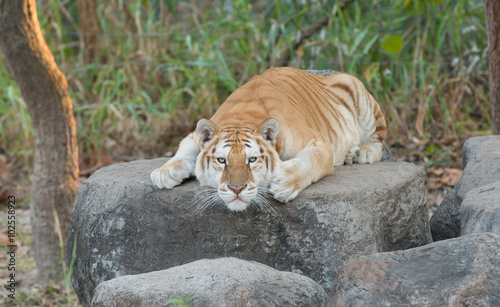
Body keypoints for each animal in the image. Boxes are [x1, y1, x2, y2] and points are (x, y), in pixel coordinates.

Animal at [150, 67, 388, 212]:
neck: (241, 118)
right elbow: (184, 149)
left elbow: (310, 161)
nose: (236, 188)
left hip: (358, 90)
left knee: (379, 139)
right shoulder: (194, 135)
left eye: (252, 159)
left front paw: (285, 182)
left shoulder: (318, 142)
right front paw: (165, 172)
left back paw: (362, 153)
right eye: (221, 160)